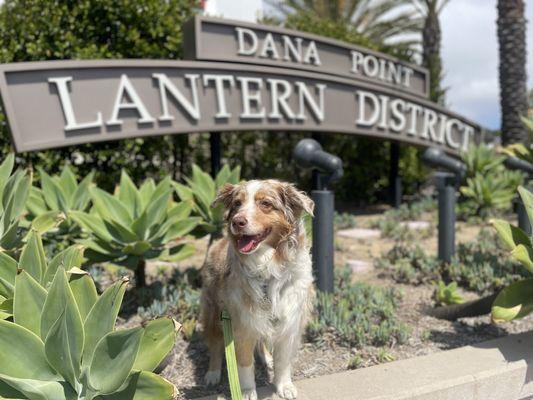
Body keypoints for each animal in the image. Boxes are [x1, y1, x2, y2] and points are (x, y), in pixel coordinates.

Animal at [201, 180, 316, 398]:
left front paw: (283, 385)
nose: (236, 221)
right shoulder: (242, 323)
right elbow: (244, 365)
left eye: (266, 204)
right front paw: (246, 392)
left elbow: (283, 360)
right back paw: (212, 374)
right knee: (215, 345)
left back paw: (267, 358)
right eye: (237, 204)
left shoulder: (290, 320)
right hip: (213, 312)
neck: (268, 269)